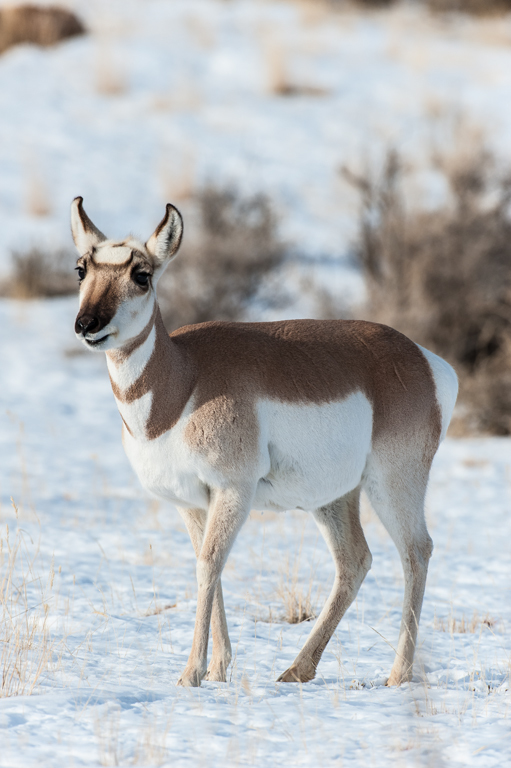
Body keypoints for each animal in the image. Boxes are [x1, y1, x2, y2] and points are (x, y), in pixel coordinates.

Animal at [72, 198, 460, 688]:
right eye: (81, 269)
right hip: (333, 499)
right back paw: (297, 668)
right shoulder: (192, 503)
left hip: (393, 485)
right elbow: (207, 565)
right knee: (355, 560)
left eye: (142, 274)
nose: (87, 324)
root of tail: (423, 360)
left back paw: (397, 675)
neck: (184, 378)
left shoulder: (232, 491)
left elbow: (209, 564)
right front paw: (218, 669)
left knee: (416, 551)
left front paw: (191, 673)